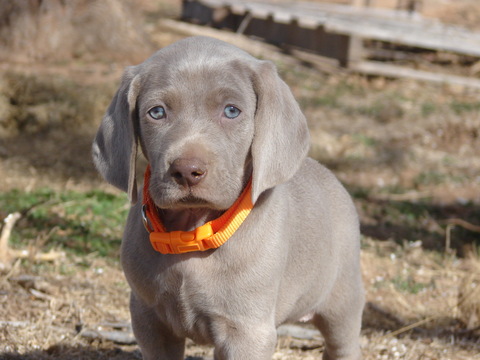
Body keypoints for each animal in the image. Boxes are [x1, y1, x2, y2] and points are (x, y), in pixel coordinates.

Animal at [93, 34, 364, 360]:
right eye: (156, 112)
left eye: (232, 111)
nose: (187, 171)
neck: (192, 233)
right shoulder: (148, 318)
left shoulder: (247, 331)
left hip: (343, 303)